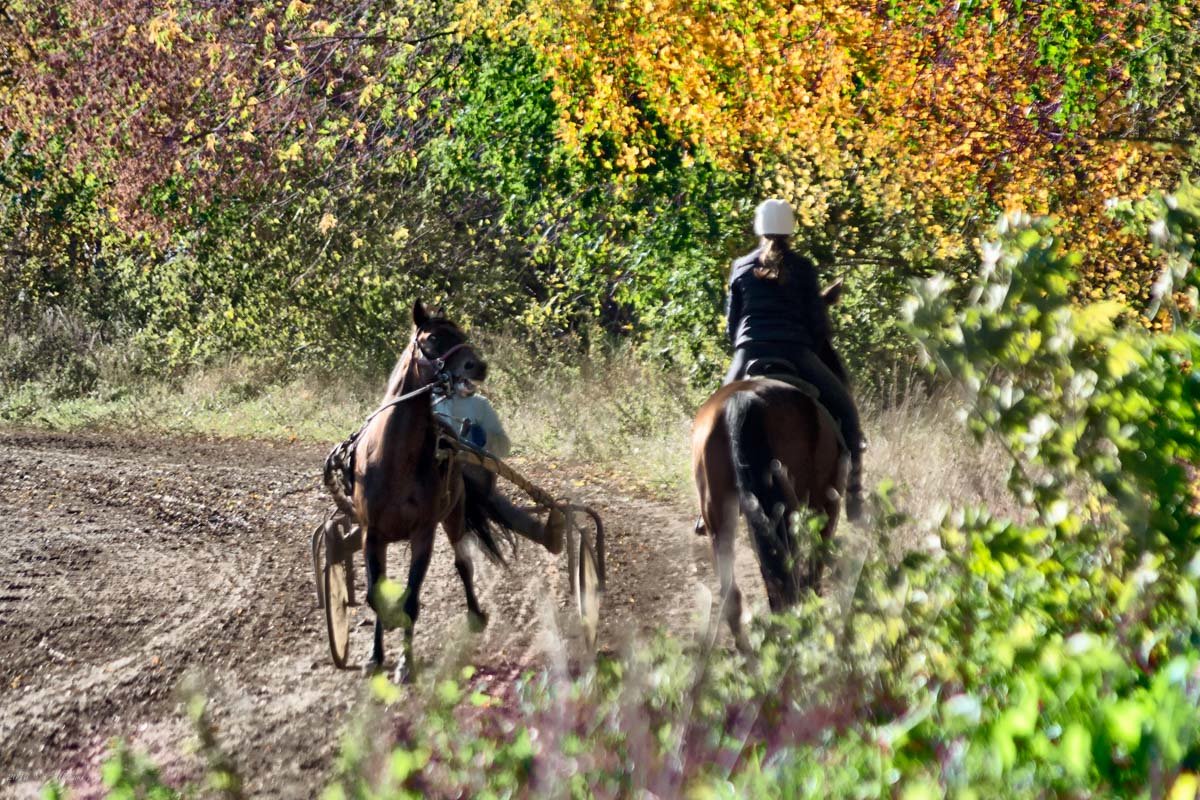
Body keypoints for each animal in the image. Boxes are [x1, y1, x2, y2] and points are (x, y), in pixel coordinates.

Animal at [324, 299, 516, 681]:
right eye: (432, 339)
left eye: (461, 333)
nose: (478, 365)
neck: (393, 458)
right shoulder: (371, 533)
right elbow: (375, 594)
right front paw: (375, 656)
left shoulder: (423, 533)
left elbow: (412, 600)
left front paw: (405, 663)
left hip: (454, 516)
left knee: (463, 564)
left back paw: (475, 615)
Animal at [691, 281, 849, 652]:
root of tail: (743, 400)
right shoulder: (825, 506)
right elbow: (812, 568)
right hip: (789, 506)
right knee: (788, 574)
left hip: (720, 513)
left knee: (735, 593)